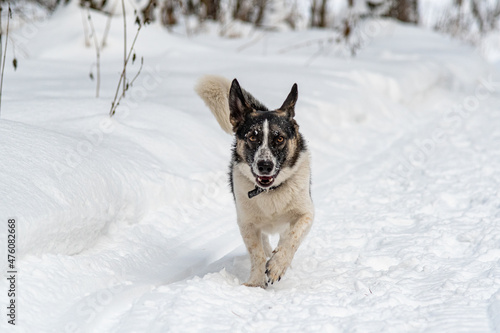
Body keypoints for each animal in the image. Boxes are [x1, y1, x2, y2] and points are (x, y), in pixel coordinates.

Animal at [194, 75, 312, 288]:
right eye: (252, 137)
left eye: (279, 139)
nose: (264, 165)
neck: (270, 191)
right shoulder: (247, 223)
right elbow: (256, 253)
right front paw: (255, 283)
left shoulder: (306, 213)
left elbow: (292, 237)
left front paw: (277, 266)